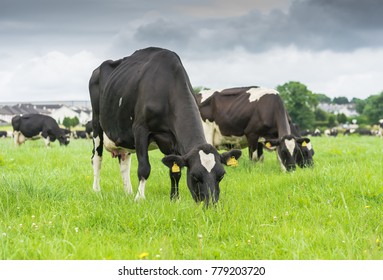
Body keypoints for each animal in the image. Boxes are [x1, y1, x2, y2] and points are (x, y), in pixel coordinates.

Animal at [88, 47, 242, 206]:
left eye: (221, 176)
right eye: (195, 176)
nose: (211, 204)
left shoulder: (172, 140)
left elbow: (175, 172)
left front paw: (174, 198)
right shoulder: (140, 129)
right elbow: (144, 167)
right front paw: (140, 198)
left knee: (124, 162)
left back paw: (128, 192)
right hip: (96, 123)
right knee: (97, 158)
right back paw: (97, 190)